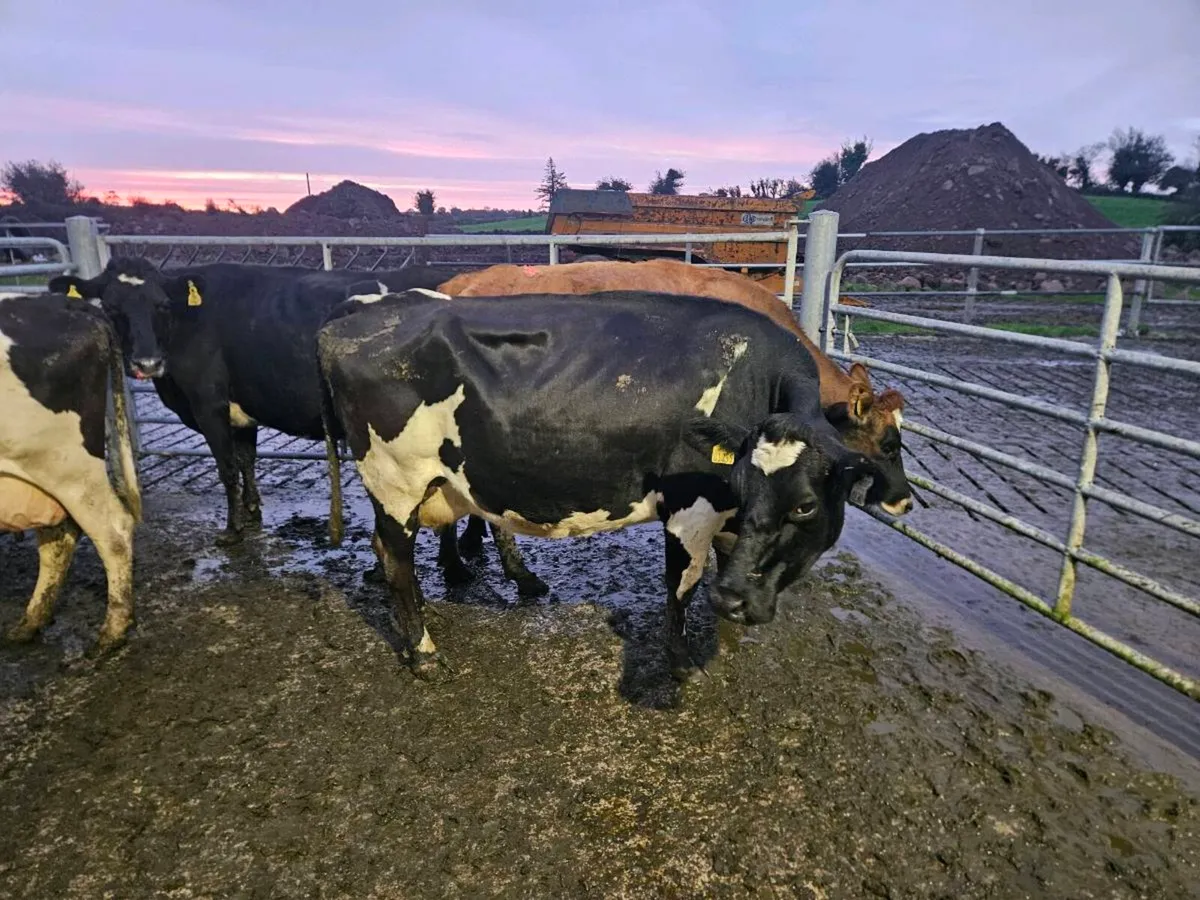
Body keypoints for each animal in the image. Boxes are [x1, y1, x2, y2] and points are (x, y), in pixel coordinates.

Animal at [1, 290, 142, 654]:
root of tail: (62, 301)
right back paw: (30, 623)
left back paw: (112, 632)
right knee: (58, 537)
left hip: (65, 465)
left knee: (113, 530)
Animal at [47, 257, 470, 548]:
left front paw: (232, 529)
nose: (145, 362)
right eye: (111, 307)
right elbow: (246, 460)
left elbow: (226, 468)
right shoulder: (241, 410)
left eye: (161, 305)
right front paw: (252, 511)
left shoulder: (208, 403)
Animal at [316, 287, 885, 679]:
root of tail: (353, 317)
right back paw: (424, 653)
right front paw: (682, 660)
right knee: (396, 560)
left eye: (804, 506)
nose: (734, 601)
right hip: (396, 482)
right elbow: (681, 586)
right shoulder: (690, 505)